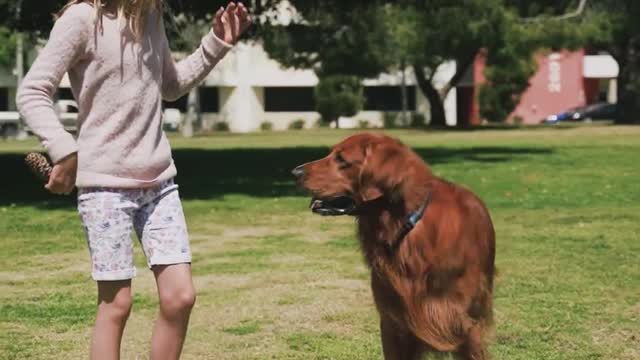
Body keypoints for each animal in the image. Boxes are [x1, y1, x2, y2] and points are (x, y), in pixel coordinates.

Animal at [292, 133, 498, 360]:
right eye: (331, 154)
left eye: (341, 159)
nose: (295, 172)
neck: (403, 226)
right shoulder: (393, 323)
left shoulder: (468, 326)